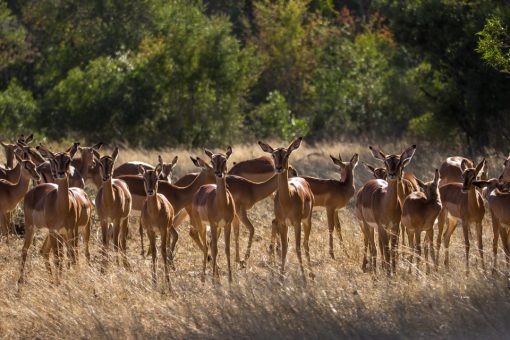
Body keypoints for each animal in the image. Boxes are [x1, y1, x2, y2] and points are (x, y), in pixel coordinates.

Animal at [19, 143, 92, 282]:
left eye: (68, 160)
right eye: (54, 159)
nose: (60, 173)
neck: (62, 208)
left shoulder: (69, 230)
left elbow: (71, 255)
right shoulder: (54, 231)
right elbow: (58, 258)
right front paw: (60, 282)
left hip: (81, 229)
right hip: (31, 227)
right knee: (25, 249)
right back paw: (20, 282)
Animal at [190, 146, 236, 282]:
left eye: (225, 160)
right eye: (212, 161)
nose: (218, 173)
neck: (221, 204)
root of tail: (200, 189)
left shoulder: (227, 224)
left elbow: (227, 249)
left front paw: (230, 279)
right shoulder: (213, 224)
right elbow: (215, 249)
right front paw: (215, 280)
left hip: (217, 228)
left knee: (210, 245)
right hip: (202, 225)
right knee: (207, 247)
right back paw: (204, 277)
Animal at [258, 137, 314, 282]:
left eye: (287, 154)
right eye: (273, 154)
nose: (278, 168)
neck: (287, 199)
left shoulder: (297, 223)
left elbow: (298, 248)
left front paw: (303, 277)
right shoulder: (283, 223)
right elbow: (284, 248)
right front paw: (281, 276)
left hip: (307, 221)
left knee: (305, 244)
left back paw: (311, 275)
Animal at [356, 145, 416, 274]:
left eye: (399, 162)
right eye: (385, 162)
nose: (392, 174)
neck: (387, 205)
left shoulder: (395, 226)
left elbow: (393, 249)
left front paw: (393, 271)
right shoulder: (381, 226)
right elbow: (386, 249)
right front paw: (388, 274)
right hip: (366, 225)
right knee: (371, 246)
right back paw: (371, 270)